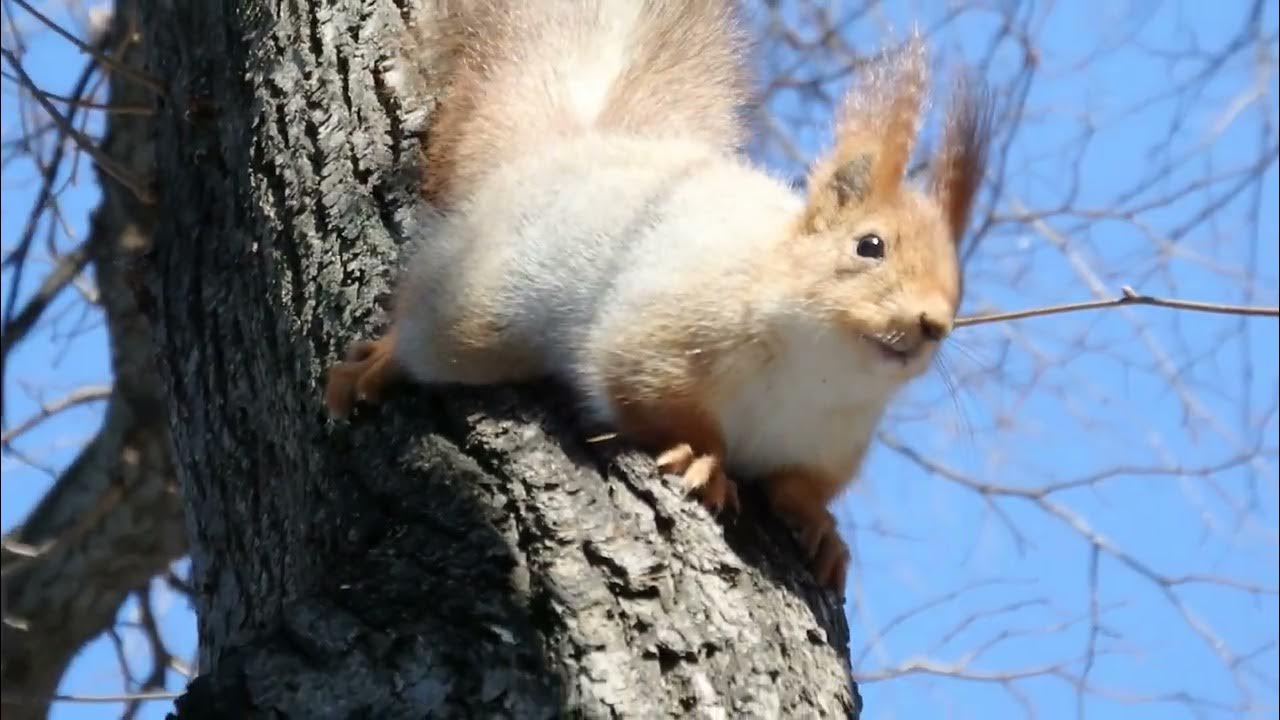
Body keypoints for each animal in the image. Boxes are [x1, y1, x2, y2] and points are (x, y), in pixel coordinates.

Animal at [325, 0, 993, 589]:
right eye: (869, 246)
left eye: (960, 283)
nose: (934, 324)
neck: (816, 371)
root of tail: (551, 156)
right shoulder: (660, 335)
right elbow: (653, 395)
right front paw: (704, 458)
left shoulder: (830, 444)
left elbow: (799, 487)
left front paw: (824, 530)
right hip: (477, 315)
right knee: (423, 333)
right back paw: (373, 366)